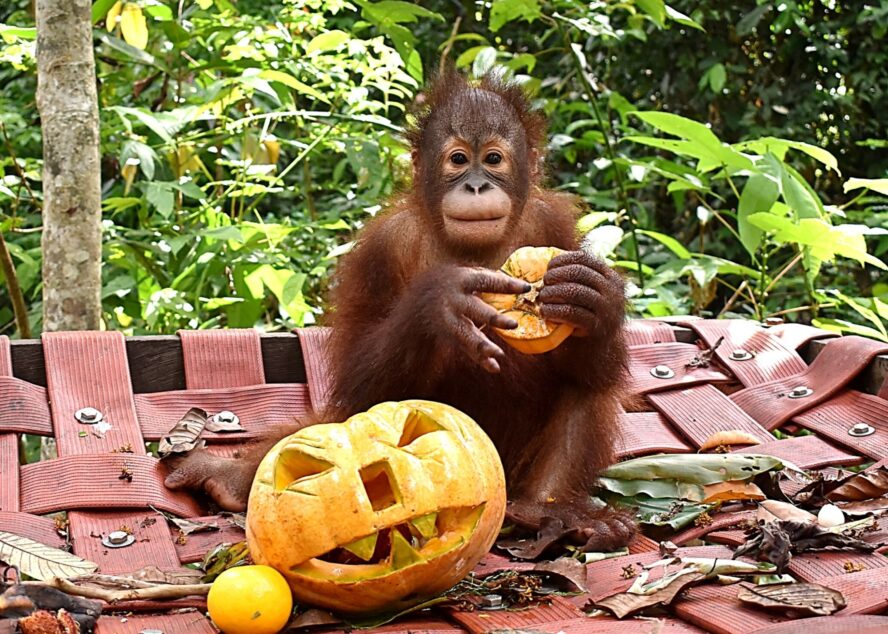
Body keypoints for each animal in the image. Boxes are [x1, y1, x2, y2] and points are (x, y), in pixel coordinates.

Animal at [165, 70, 634, 552]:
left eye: (494, 159)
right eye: (458, 159)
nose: (476, 185)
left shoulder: (554, 227)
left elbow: (586, 361)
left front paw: (594, 295)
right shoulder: (381, 248)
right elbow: (360, 385)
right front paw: (441, 302)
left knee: (589, 385)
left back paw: (553, 512)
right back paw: (229, 478)